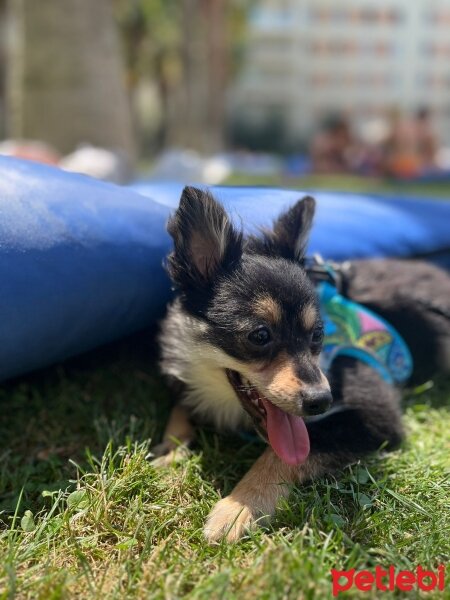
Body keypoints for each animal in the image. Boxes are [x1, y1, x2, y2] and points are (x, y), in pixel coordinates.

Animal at [154, 185, 450, 540]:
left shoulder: (374, 415)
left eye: (318, 334)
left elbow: (287, 453)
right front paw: (169, 453)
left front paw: (239, 508)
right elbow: (180, 406)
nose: (321, 401)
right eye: (260, 335)